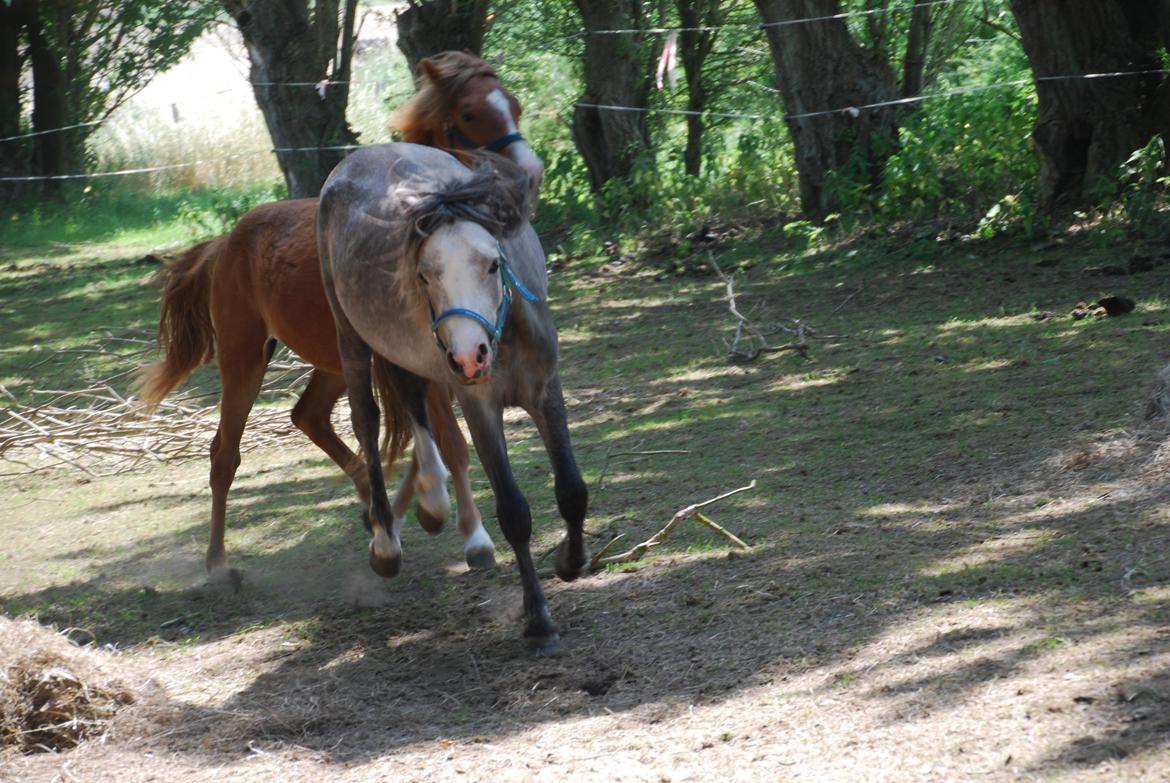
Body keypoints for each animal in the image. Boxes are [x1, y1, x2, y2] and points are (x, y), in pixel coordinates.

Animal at [139, 50, 540, 580]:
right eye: (470, 113)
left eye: (514, 104)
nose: (528, 175)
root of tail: (226, 243)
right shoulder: (426, 365)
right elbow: (451, 443)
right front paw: (472, 537)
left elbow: (427, 445)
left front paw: (408, 515)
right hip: (244, 361)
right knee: (224, 454)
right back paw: (219, 564)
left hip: (330, 364)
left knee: (308, 416)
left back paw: (374, 508)